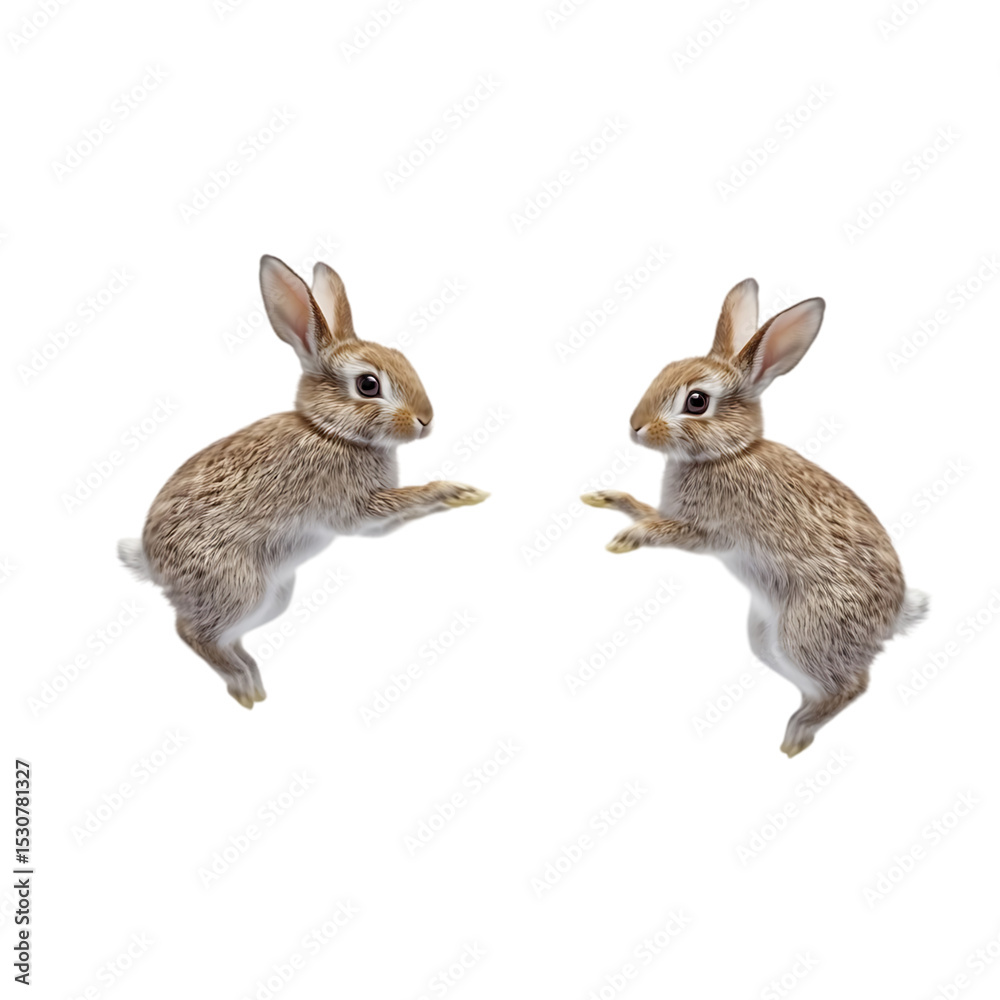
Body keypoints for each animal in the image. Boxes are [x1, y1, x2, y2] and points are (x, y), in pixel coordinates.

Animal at [118, 255, 488, 708]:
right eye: (368, 384)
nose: (426, 420)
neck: (330, 432)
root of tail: (151, 564)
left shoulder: (371, 523)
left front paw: (462, 495)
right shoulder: (354, 509)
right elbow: (402, 500)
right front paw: (452, 491)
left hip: (274, 597)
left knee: (225, 638)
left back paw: (253, 675)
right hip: (238, 587)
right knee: (191, 633)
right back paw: (244, 688)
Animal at [581, 278, 928, 756]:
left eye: (696, 401)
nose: (635, 425)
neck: (727, 453)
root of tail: (894, 618)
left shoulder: (710, 533)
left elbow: (665, 531)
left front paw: (627, 538)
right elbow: (644, 509)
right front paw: (605, 498)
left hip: (806, 631)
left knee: (852, 686)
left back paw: (795, 738)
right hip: (766, 638)